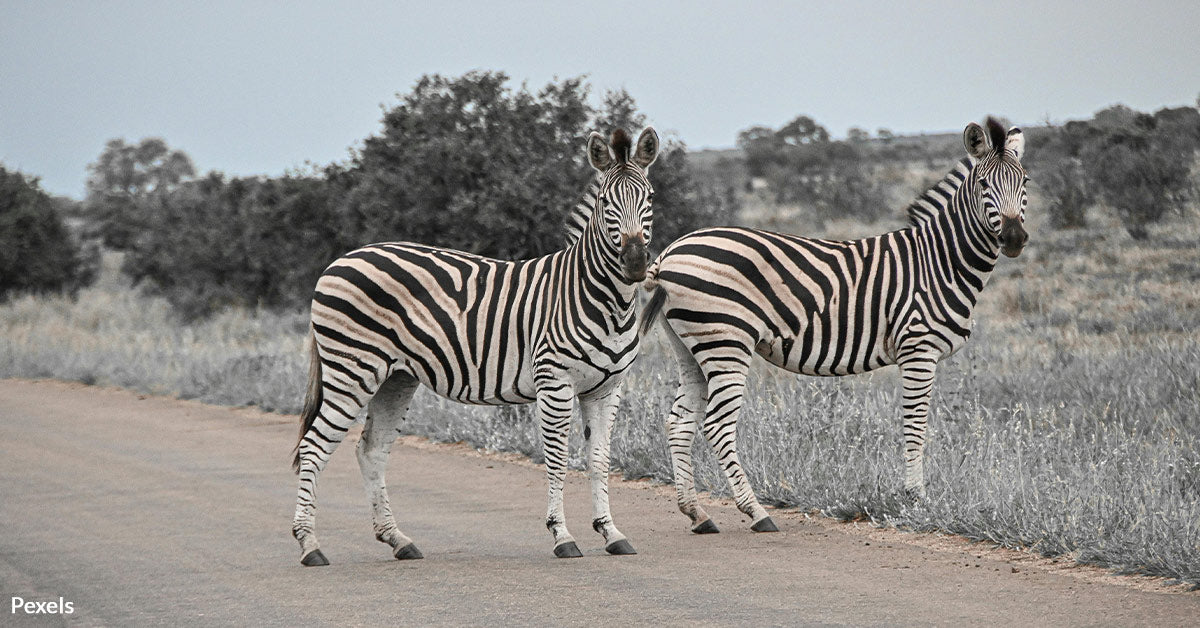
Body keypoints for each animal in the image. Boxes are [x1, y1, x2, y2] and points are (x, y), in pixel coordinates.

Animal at [292, 127, 661, 565]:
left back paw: (398, 539)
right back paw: (310, 545)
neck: (601, 298)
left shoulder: (606, 388)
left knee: (371, 450)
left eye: (650, 197)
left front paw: (610, 532)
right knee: (313, 447)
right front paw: (562, 536)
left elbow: (600, 460)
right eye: (606, 202)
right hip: (353, 369)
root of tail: (339, 261)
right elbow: (556, 459)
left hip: (395, 377)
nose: (635, 263)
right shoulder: (554, 381)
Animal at [639, 118, 1028, 533]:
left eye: (1025, 182)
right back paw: (756, 511)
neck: (939, 261)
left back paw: (697, 513)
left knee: (679, 423)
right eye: (984, 184)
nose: (1014, 238)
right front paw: (915, 499)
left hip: (691, 348)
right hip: (726, 344)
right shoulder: (918, 349)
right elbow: (915, 423)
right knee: (716, 425)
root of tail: (668, 254)